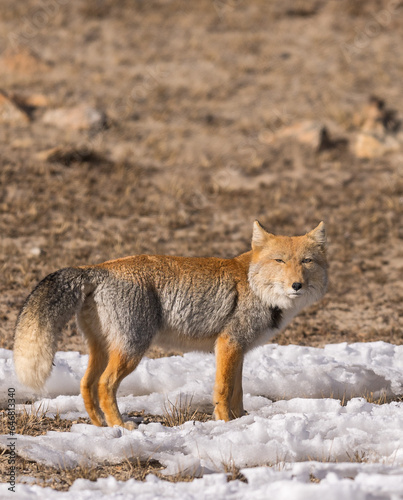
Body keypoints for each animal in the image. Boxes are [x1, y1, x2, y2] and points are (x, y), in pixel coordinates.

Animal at [13, 221, 328, 428]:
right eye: (280, 261)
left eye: (307, 261)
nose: (296, 285)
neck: (255, 287)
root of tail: (98, 268)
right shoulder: (229, 344)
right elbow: (223, 390)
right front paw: (225, 422)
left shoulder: (237, 350)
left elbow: (237, 391)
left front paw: (240, 420)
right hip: (132, 350)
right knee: (104, 385)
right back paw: (120, 426)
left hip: (102, 350)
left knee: (85, 384)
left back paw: (101, 425)